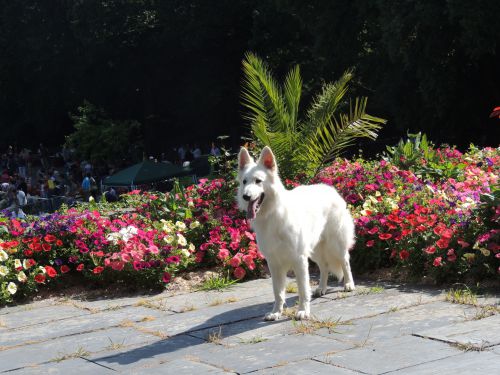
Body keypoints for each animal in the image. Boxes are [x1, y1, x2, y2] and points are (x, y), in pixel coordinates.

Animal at [238, 146, 356, 320]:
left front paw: (303, 311)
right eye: (244, 182)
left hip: (335, 244)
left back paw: (349, 284)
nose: (245, 196)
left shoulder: (299, 259)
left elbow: (303, 289)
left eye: (258, 181)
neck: (272, 214)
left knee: (345, 261)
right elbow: (278, 292)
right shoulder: (274, 263)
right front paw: (276, 312)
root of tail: (329, 188)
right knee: (324, 266)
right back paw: (321, 288)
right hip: (314, 251)